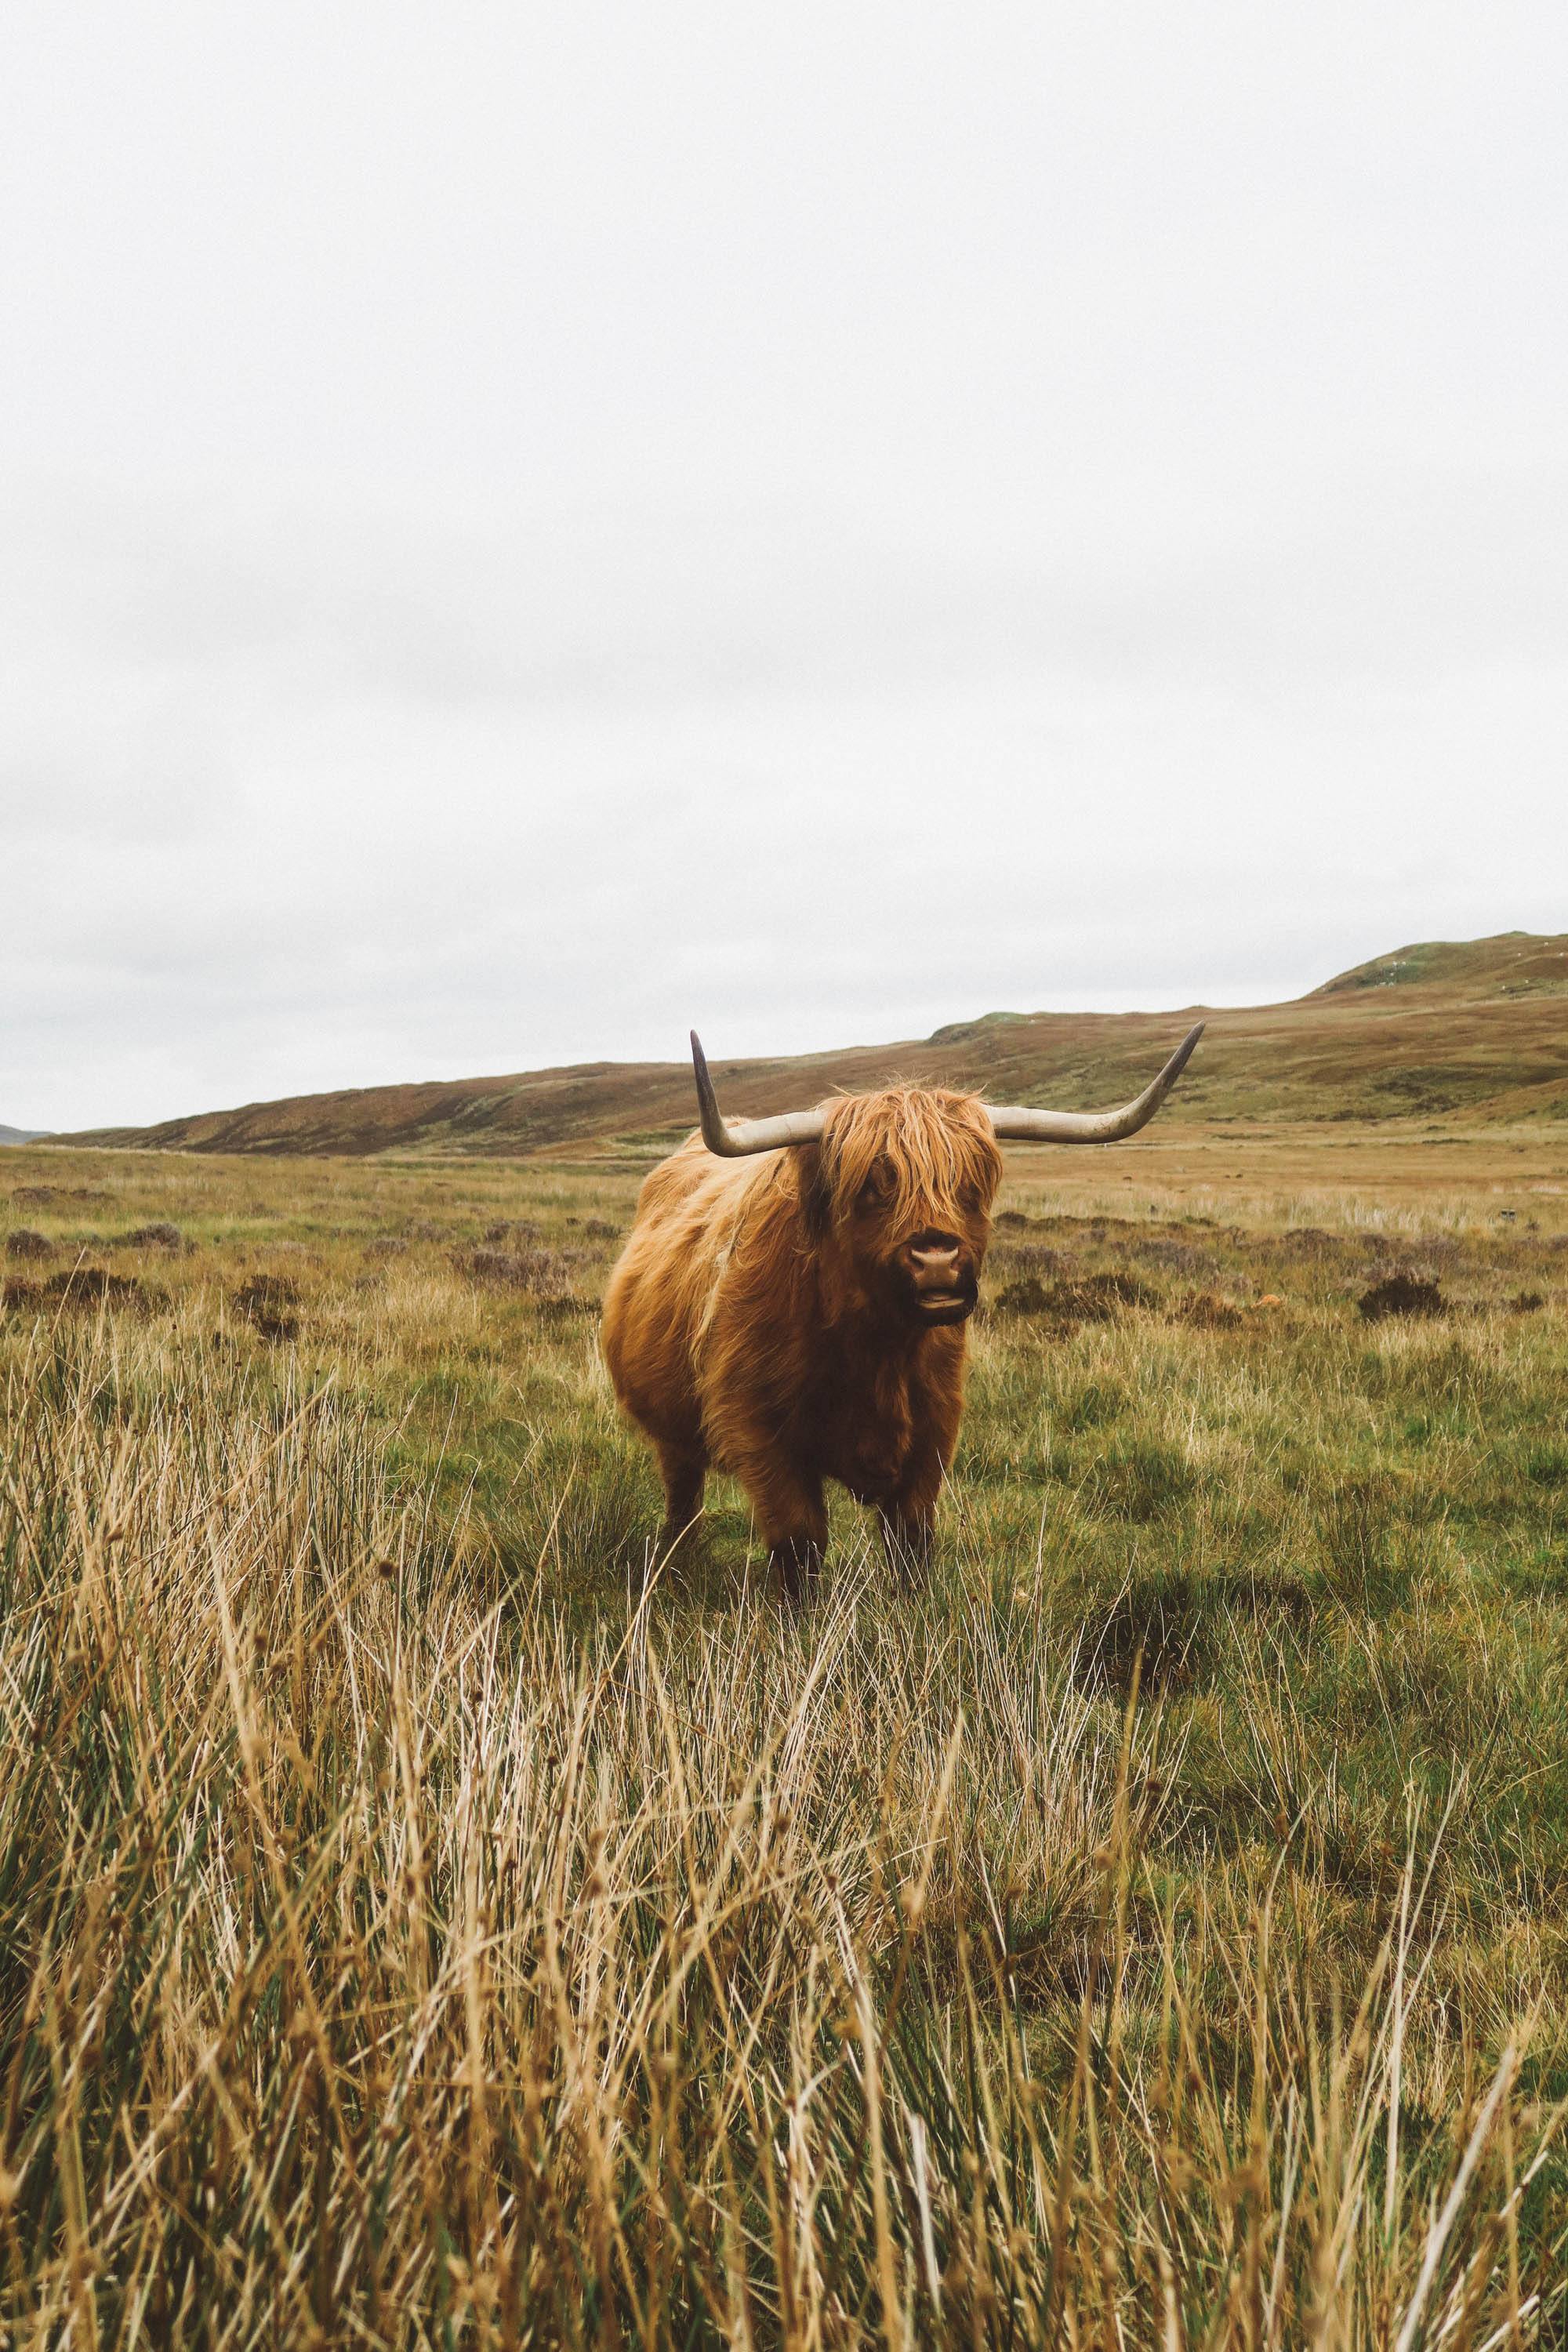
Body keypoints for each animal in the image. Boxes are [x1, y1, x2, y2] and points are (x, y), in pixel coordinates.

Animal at [600, 1024, 1203, 1600]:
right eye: (872, 1185)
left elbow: (912, 1544)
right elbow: (800, 1544)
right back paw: (676, 1561)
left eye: (970, 1183)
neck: (875, 1349)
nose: (937, 1260)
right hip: (672, 1432)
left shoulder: (933, 1434)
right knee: (683, 1496)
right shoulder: (761, 1433)